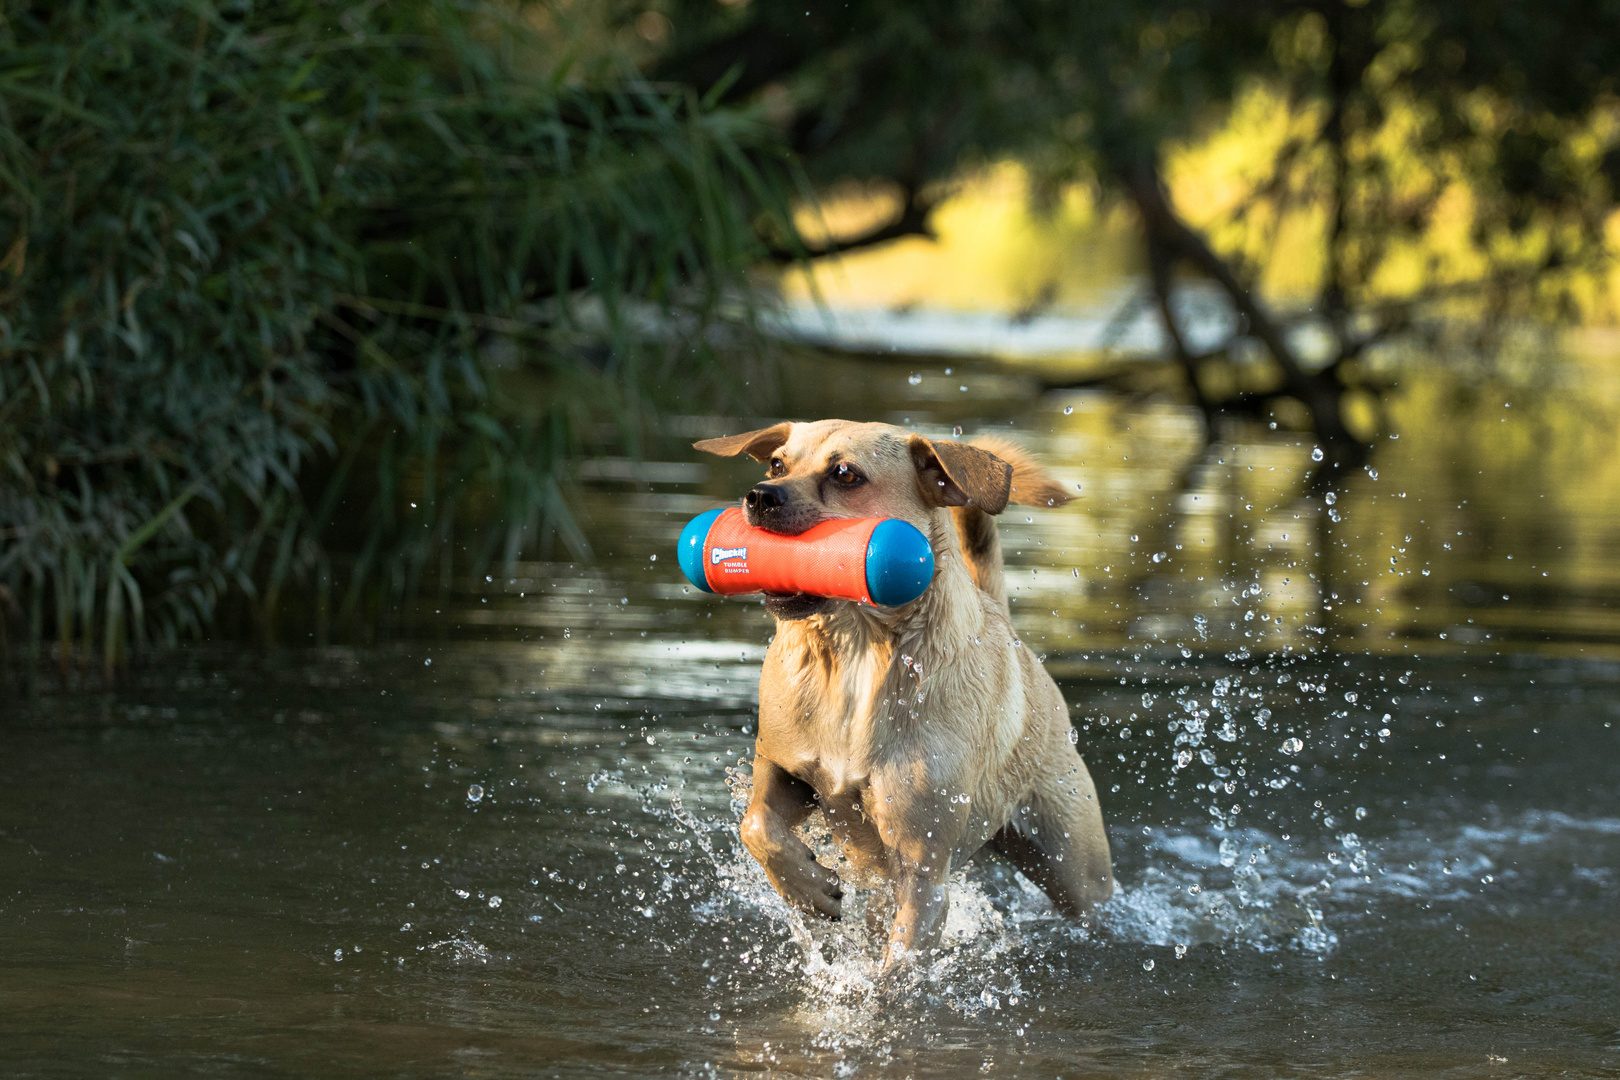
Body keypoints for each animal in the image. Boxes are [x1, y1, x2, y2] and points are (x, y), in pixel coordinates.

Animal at [696, 417, 1114, 965]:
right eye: (777, 463)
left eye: (845, 474)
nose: (760, 495)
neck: (855, 651)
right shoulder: (780, 765)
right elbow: (756, 825)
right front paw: (810, 890)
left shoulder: (923, 872)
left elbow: (900, 966)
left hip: (1071, 858)